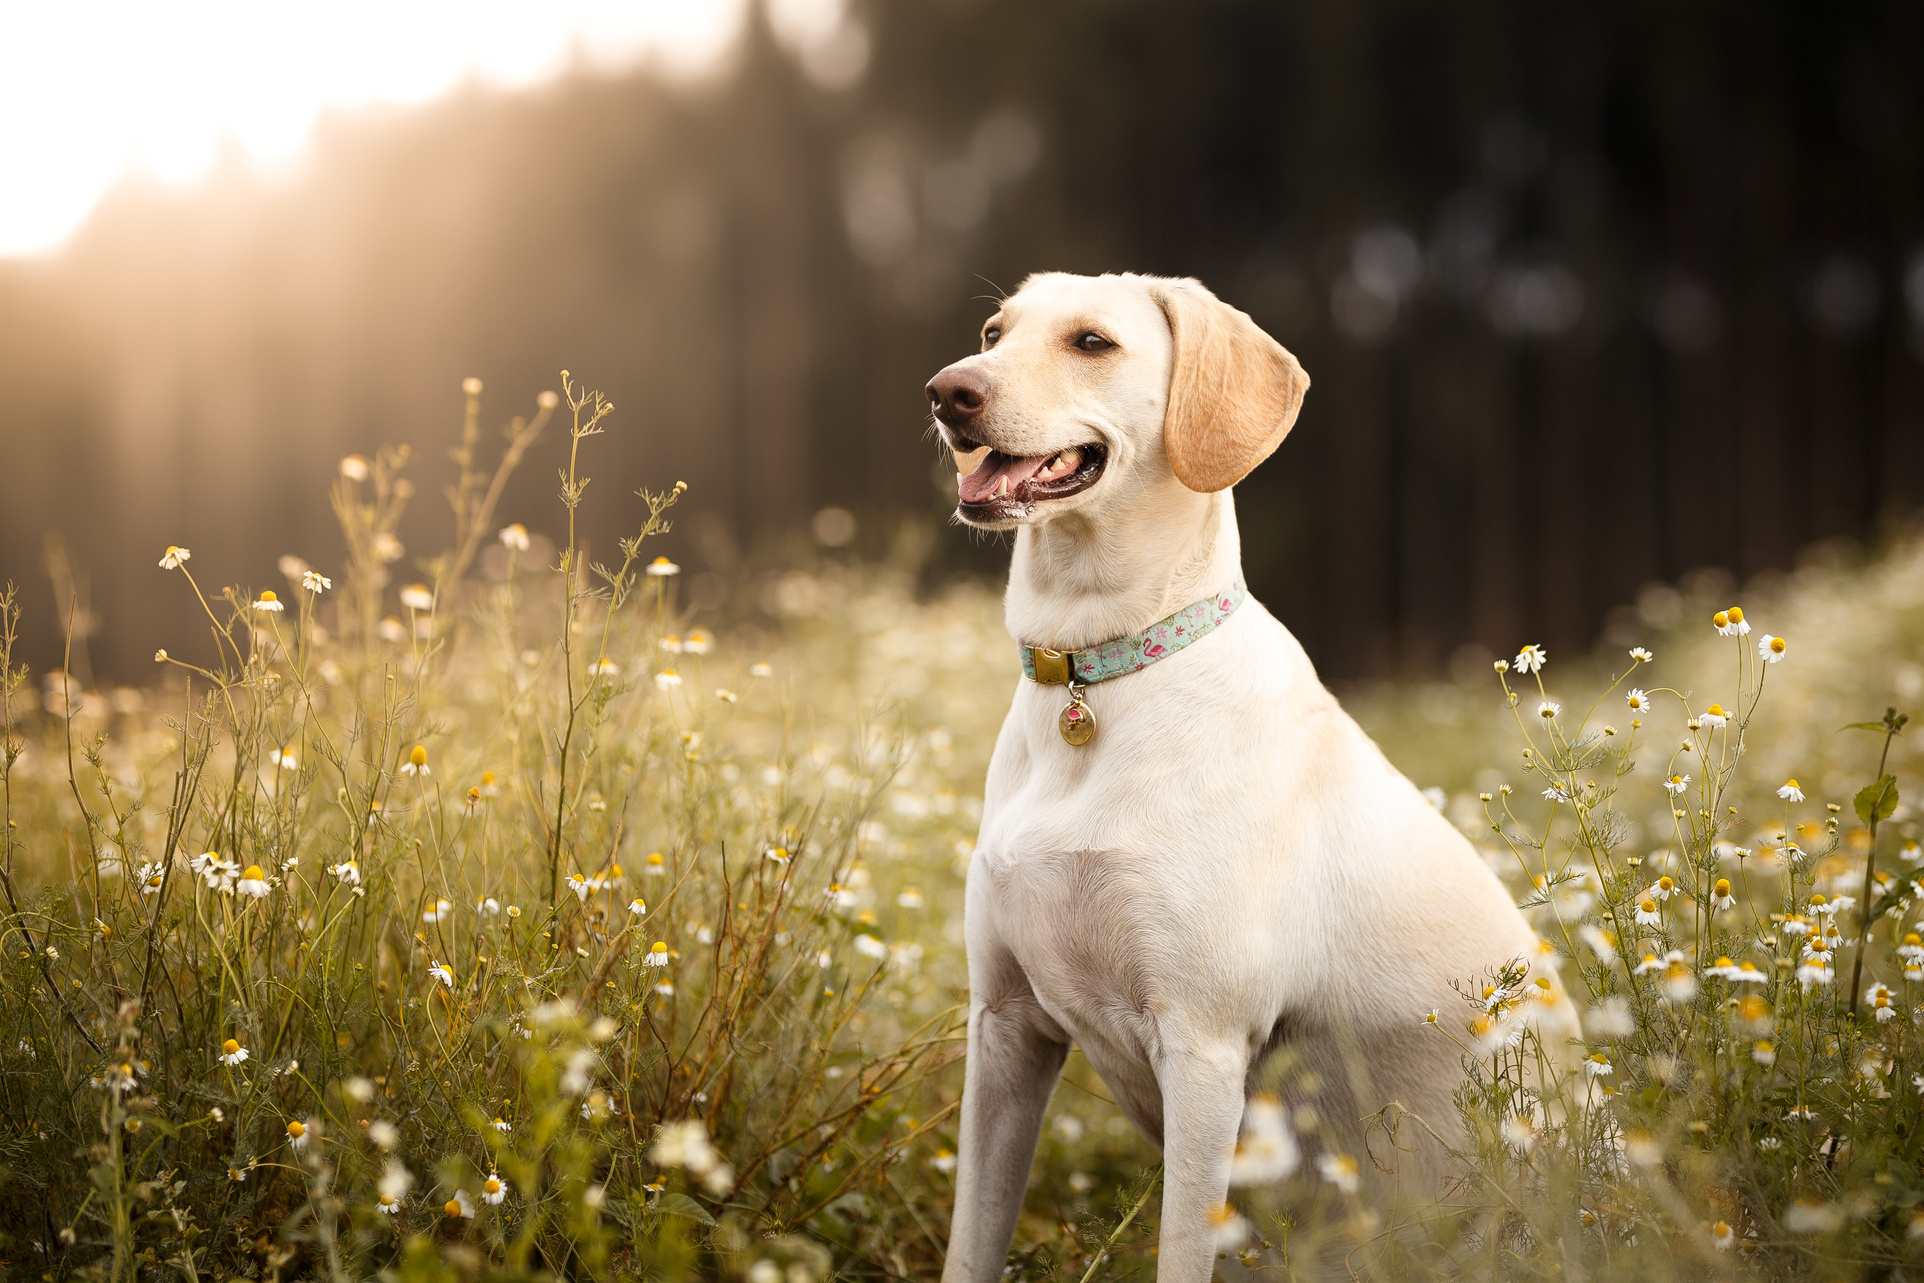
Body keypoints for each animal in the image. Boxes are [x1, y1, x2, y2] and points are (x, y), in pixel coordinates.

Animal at [927, 273, 1577, 1283]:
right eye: (994, 332)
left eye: (1091, 342)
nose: (946, 391)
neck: (1097, 675)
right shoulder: (1004, 1026)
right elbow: (971, 1240)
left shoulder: (1203, 1050)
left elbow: (1183, 1251)